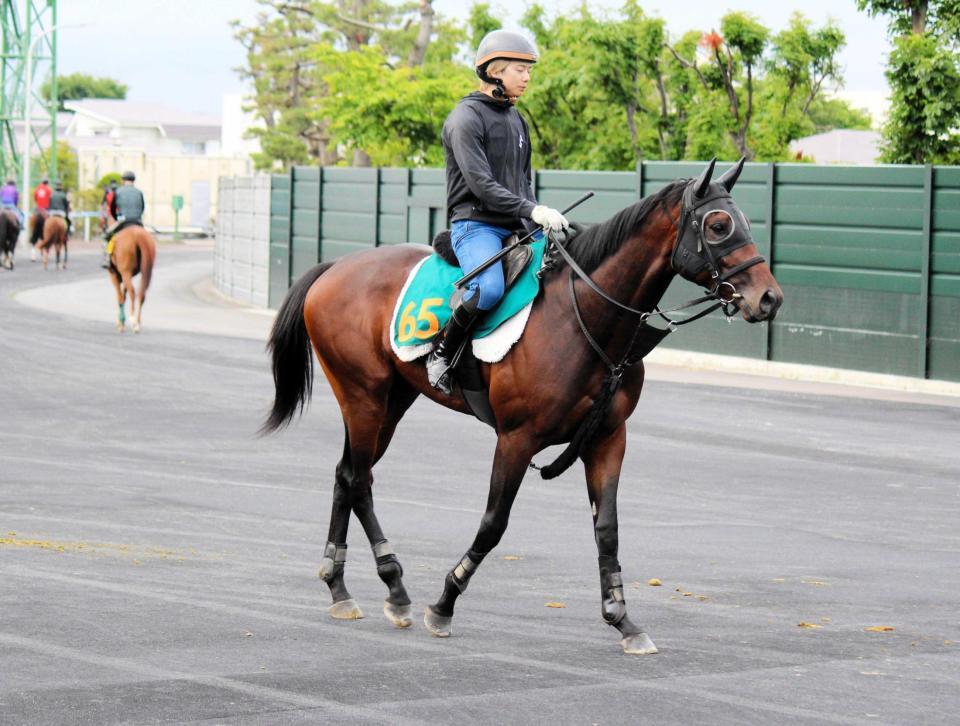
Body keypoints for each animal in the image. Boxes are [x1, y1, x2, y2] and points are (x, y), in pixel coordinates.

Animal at [262, 159, 784, 655]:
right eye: (718, 225)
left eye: (745, 221)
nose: (769, 297)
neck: (582, 316)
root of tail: (335, 266)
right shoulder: (516, 438)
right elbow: (494, 523)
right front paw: (445, 603)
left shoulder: (607, 437)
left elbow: (607, 528)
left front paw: (622, 619)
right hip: (362, 396)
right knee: (358, 480)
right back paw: (383, 587)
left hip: (391, 400)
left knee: (349, 475)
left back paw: (350, 587)